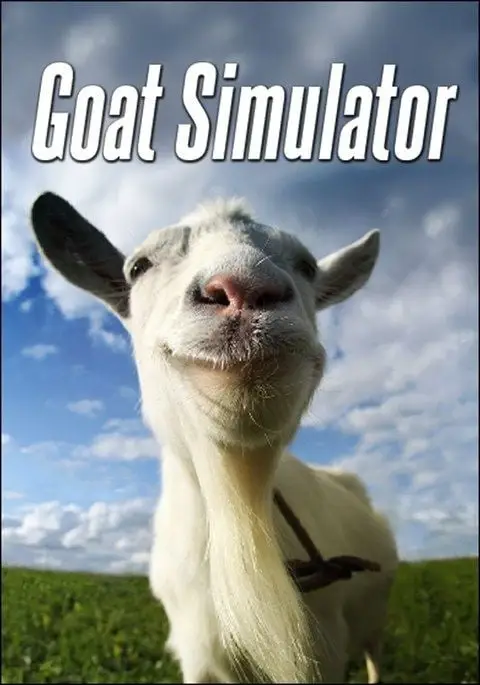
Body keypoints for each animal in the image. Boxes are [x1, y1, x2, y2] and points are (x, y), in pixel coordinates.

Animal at [30, 192, 399, 684]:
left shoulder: (325, 651)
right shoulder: (197, 654)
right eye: (138, 266)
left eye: (306, 265)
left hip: (375, 621)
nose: (244, 289)